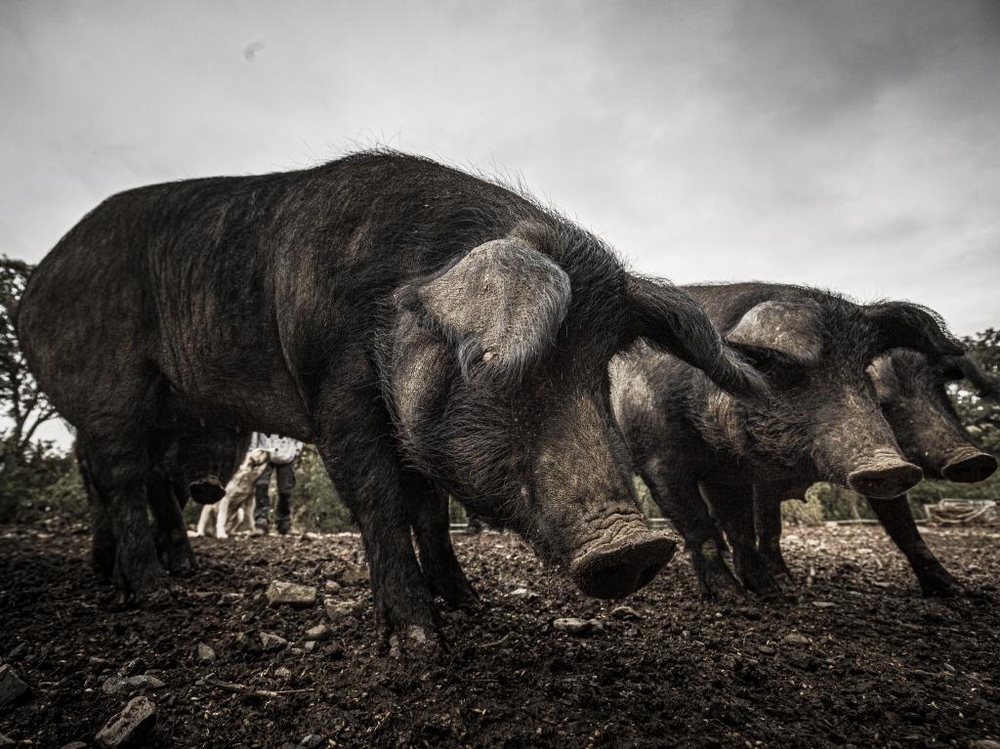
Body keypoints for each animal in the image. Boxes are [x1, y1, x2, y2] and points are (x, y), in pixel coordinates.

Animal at [13, 152, 764, 648]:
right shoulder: (334, 392)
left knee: (117, 483)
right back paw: (155, 590)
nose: (634, 545)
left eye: (597, 370)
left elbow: (430, 508)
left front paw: (471, 604)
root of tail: (33, 291)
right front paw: (418, 641)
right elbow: (379, 499)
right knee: (122, 477)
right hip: (111, 394)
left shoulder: (415, 428)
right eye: (491, 361)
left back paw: (122, 576)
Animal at [608, 284, 960, 600]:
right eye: (784, 369)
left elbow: (740, 526)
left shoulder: (728, 472)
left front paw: (773, 593)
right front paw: (732, 598)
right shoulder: (658, 460)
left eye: (863, 372)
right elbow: (698, 526)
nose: (891, 466)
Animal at [752, 350, 996, 596]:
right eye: (885, 400)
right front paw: (782, 581)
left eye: (938, 389)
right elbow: (770, 526)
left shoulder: (889, 473)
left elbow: (905, 526)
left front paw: (958, 590)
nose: (973, 458)